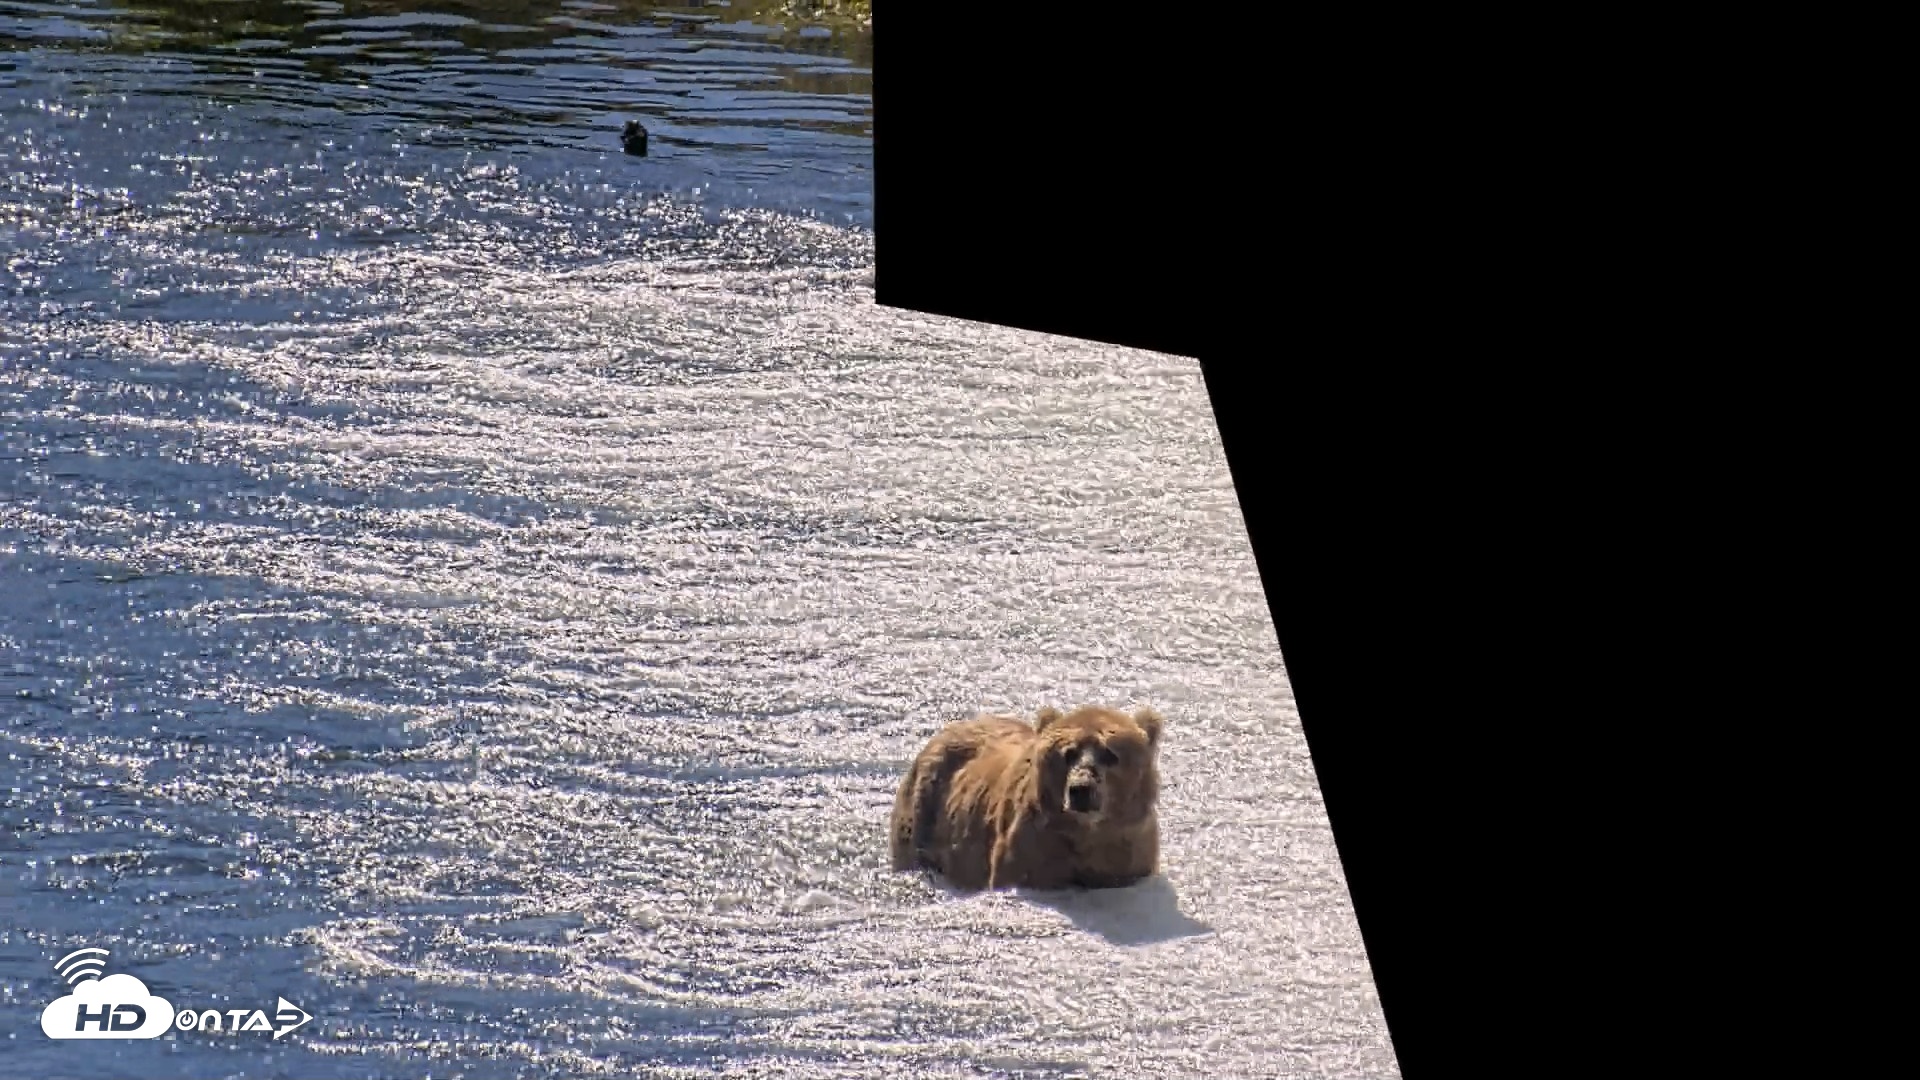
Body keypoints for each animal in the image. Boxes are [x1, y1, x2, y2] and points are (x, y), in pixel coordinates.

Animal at [888, 704, 1164, 891]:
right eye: (1069, 753)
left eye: (1110, 754)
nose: (1081, 789)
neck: (1086, 834)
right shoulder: (1033, 845)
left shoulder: (1127, 852)